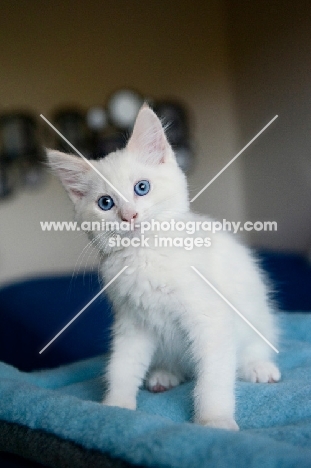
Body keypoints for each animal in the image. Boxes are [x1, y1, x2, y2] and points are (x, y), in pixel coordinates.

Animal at [47, 104, 282, 430]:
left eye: (142, 187)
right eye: (105, 203)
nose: (129, 216)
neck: (145, 254)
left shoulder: (212, 319)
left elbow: (214, 378)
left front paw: (215, 420)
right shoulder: (132, 323)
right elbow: (122, 365)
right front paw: (115, 407)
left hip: (256, 316)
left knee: (254, 346)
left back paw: (257, 366)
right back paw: (164, 374)